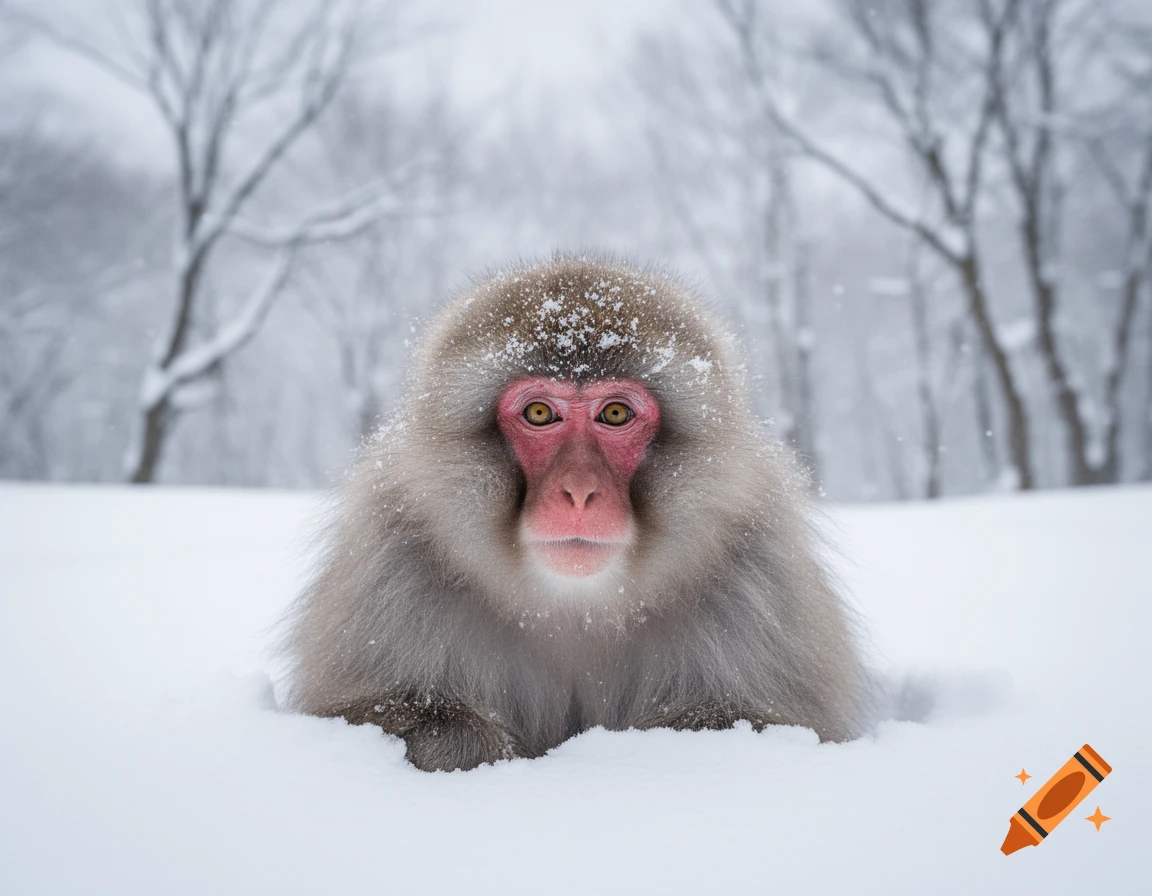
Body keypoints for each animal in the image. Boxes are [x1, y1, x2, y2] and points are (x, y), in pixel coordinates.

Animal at [279, 255, 869, 771]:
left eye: (616, 413)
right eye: (541, 413)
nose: (580, 492)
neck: (576, 606)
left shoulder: (760, 579)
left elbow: (758, 721)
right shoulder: (390, 567)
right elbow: (358, 712)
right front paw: (464, 743)